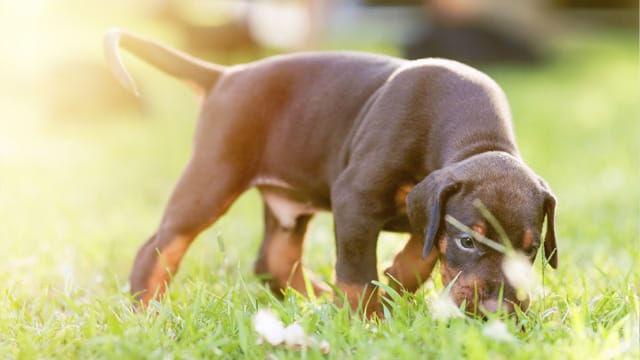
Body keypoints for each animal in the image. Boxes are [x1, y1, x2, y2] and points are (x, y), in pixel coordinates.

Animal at [104, 29, 556, 316]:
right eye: (467, 241)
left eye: (531, 250)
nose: (497, 311)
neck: (477, 137)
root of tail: (225, 75)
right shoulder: (357, 196)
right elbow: (357, 272)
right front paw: (365, 321)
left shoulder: (423, 208)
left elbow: (422, 252)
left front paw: (394, 281)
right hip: (213, 178)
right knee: (159, 248)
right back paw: (147, 313)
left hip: (288, 204)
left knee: (274, 261)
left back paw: (319, 298)